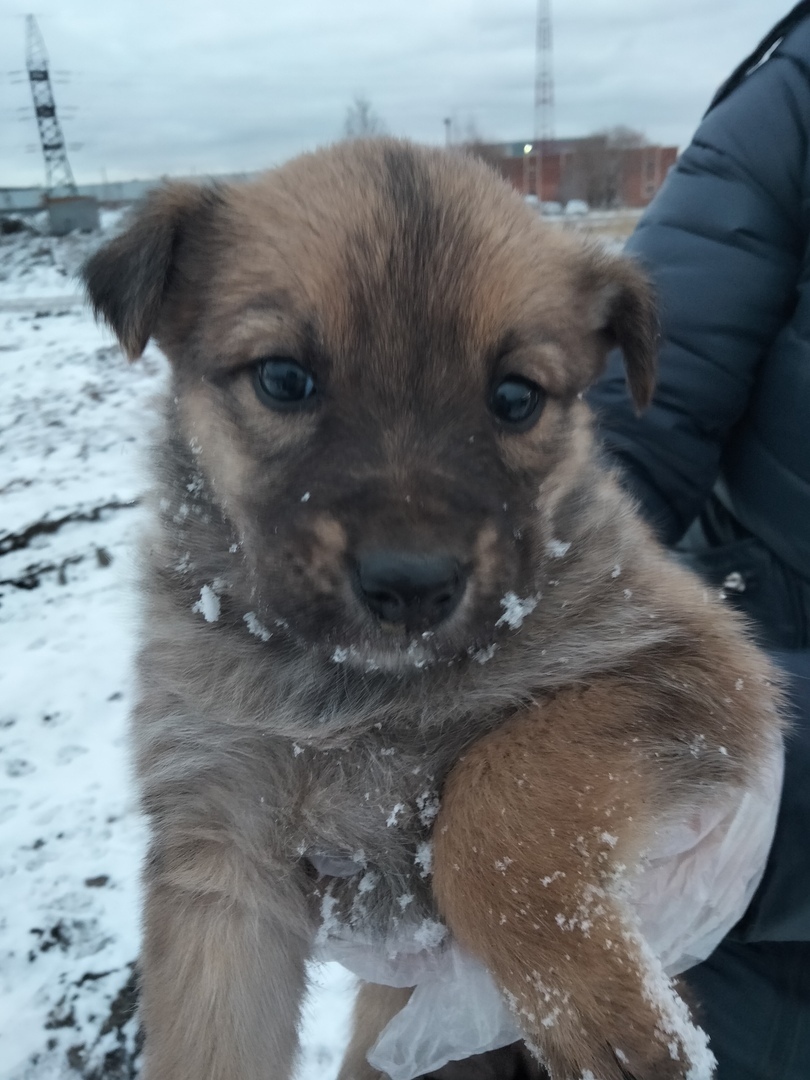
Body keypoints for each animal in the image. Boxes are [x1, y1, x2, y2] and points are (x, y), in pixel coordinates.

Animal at [84, 137, 786, 1080]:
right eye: (283, 378)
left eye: (517, 397)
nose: (412, 585)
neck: (356, 693)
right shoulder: (218, 842)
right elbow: (211, 1040)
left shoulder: (693, 664)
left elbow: (500, 789)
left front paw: (607, 1010)